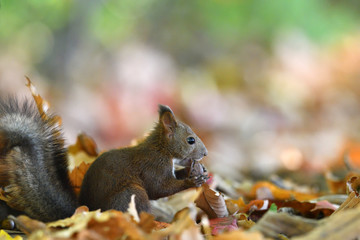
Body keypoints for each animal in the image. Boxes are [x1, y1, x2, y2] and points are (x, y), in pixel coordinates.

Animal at [0, 96, 208, 222]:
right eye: (190, 140)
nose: (205, 153)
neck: (162, 149)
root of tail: (90, 211)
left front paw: (196, 172)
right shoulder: (152, 166)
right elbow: (159, 188)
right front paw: (192, 180)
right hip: (131, 193)